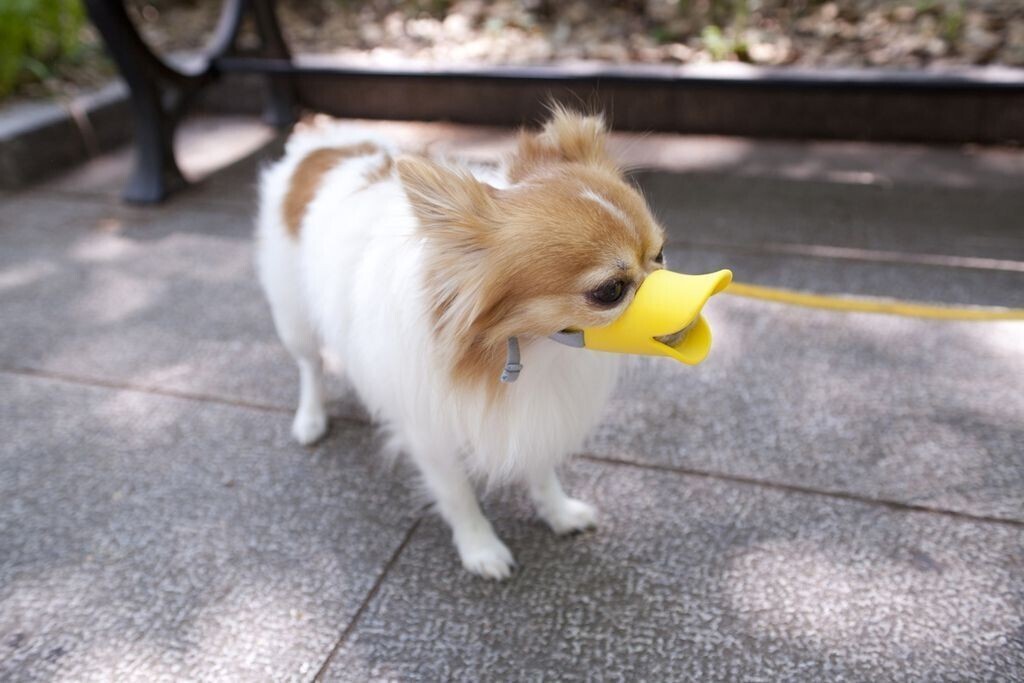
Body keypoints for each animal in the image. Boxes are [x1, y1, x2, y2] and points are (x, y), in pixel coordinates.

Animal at [260, 107, 667, 577]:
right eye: (610, 292)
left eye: (661, 253)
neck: (528, 349)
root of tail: (323, 145)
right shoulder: (429, 433)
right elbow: (458, 495)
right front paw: (480, 548)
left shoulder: (537, 414)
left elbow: (541, 470)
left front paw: (559, 513)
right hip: (293, 316)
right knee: (310, 365)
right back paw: (310, 419)